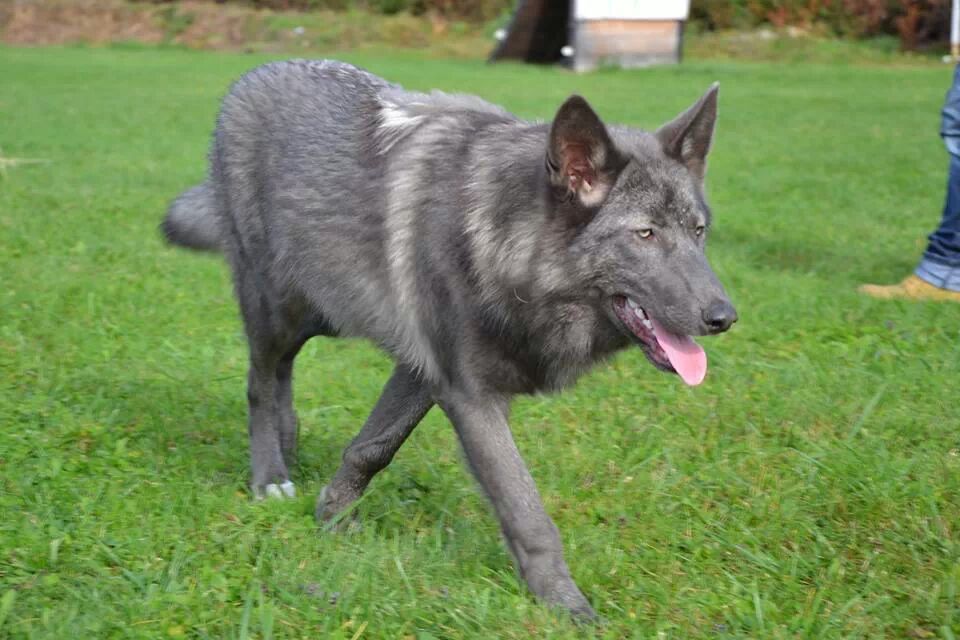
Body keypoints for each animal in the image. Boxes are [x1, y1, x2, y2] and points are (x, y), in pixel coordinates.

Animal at [162, 59, 737, 619]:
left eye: (698, 231)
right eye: (645, 234)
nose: (724, 317)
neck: (501, 246)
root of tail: (252, 77)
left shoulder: (425, 371)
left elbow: (372, 447)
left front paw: (331, 515)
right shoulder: (470, 395)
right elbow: (527, 512)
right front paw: (569, 608)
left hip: (324, 312)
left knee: (282, 371)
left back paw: (289, 444)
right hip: (279, 308)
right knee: (260, 379)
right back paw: (270, 474)